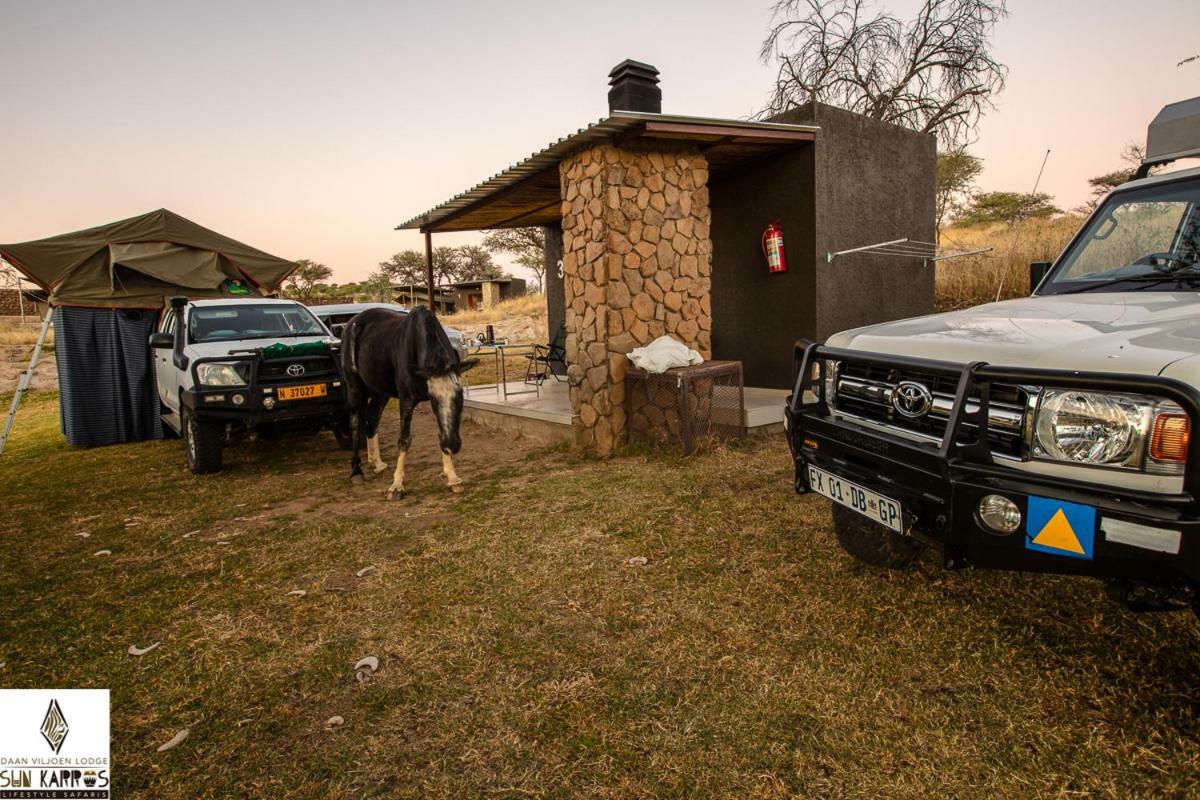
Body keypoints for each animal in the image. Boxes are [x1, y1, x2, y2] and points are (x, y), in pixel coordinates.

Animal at [340, 309, 475, 501]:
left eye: (460, 394)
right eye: (433, 398)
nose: (453, 445)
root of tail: (351, 323)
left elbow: (441, 432)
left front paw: (452, 477)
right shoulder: (406, 400)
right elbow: (404, 439)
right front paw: (396, 485)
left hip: (380, 392)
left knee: (372, 421)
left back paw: (377, 462)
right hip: (354, 387)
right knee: (355, 423)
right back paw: (356, 471)